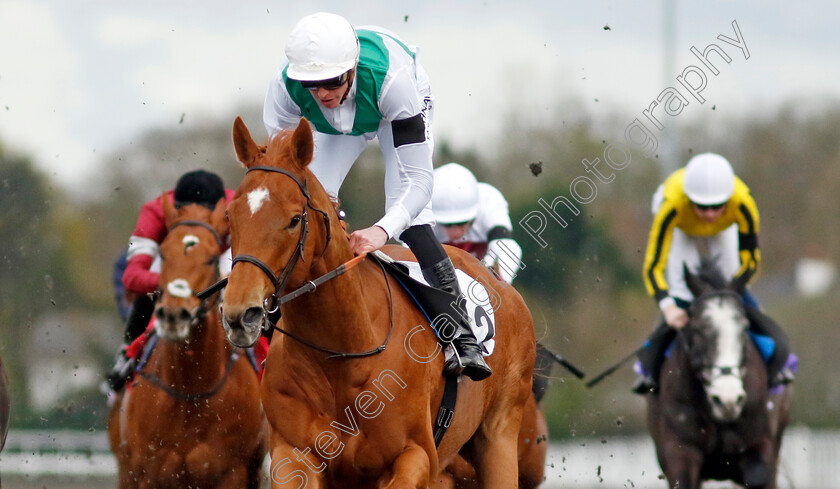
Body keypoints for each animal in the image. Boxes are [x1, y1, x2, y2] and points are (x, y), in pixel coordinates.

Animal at [107, 196, 266, 486]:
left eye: (212, 258)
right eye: (163, 254)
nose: (173, 314)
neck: (192, 392)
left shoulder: (232, 473)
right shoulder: (149, 474)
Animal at [220, 118, 536, 488]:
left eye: (294, 219)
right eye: (231, 216)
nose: (240, 313)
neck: (341, 354)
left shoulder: (416, 456)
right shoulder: (293, 455)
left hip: (499, 435)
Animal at [648, 264, 792, 488]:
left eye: (744, 328)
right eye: (697, 329)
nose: (728, 399)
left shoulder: (761, 445)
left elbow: (758, 475)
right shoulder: (680, 453)